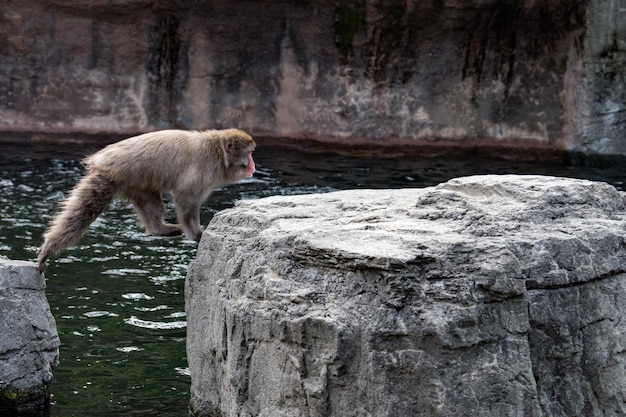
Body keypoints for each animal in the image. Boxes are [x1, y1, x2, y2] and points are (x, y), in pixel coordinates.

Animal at [35, 128, 255, 272]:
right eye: (250, 153)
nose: (253, 165)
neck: (217, 152)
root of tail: (100, 157)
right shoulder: (202, 171)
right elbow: (186, 200)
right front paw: (197, 233)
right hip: (110, 177)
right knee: (83, 210)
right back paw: (50, 247)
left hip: (137, 182)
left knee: (151, 203)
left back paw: (160, 229)